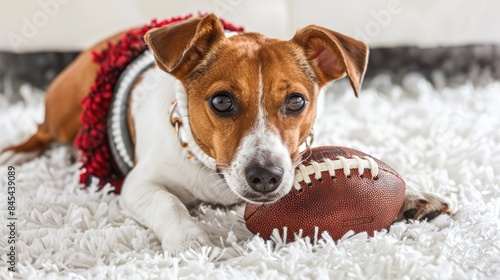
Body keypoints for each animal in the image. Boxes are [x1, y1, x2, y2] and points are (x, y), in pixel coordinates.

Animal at [0, 13, 454, 254]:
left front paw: (413, 194)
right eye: (221, 102)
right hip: (64, 115)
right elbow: (169, 204)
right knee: (40, 131)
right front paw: (190, 239)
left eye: (296, 102)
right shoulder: (139, 186)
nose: (266, 176)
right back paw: (16, 153)